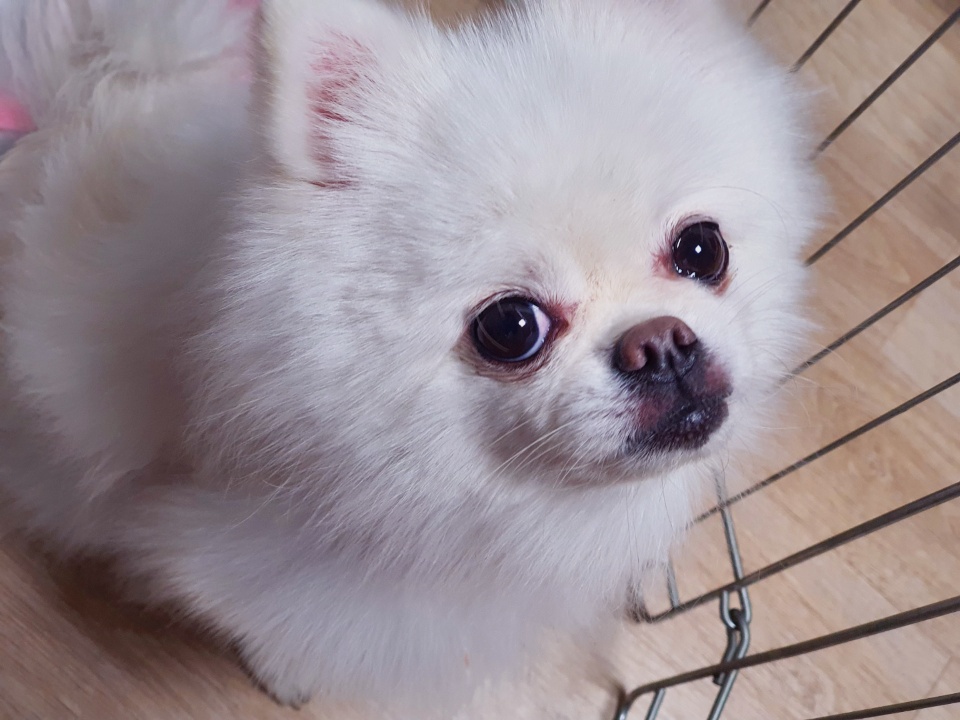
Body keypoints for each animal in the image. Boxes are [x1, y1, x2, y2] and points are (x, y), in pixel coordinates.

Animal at [0, 0, 822, 711]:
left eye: (701, 249)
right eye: (511, 327)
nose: (658, 343)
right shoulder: (237, 554)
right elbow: (268, 616)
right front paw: (285, 673)